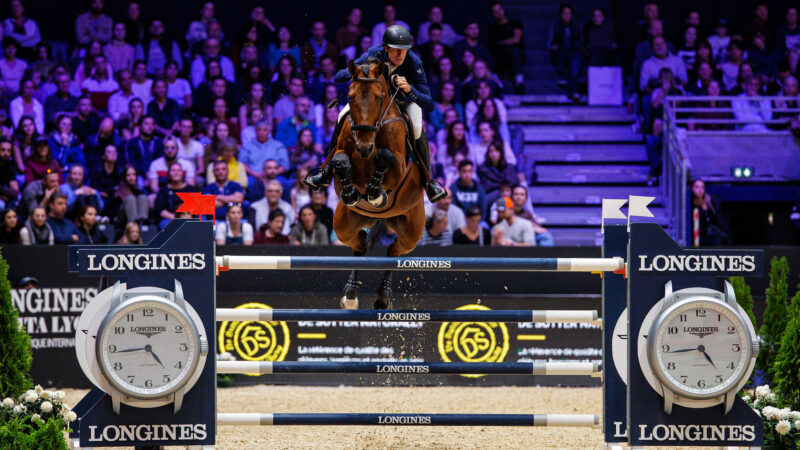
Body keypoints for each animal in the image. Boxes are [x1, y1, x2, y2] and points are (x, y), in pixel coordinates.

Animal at [326, 59, 424, 310]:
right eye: (350, 97)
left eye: (380, 98)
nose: (364, 146)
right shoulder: (342, 154)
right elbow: (340, 161)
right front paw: (352, 192)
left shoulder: (400, 168)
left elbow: (385, 157)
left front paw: (375, 193)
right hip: (344, 224)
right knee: (359, 243)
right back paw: (350, 294)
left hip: (412, 230)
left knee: (395, 250)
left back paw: (383, 296)